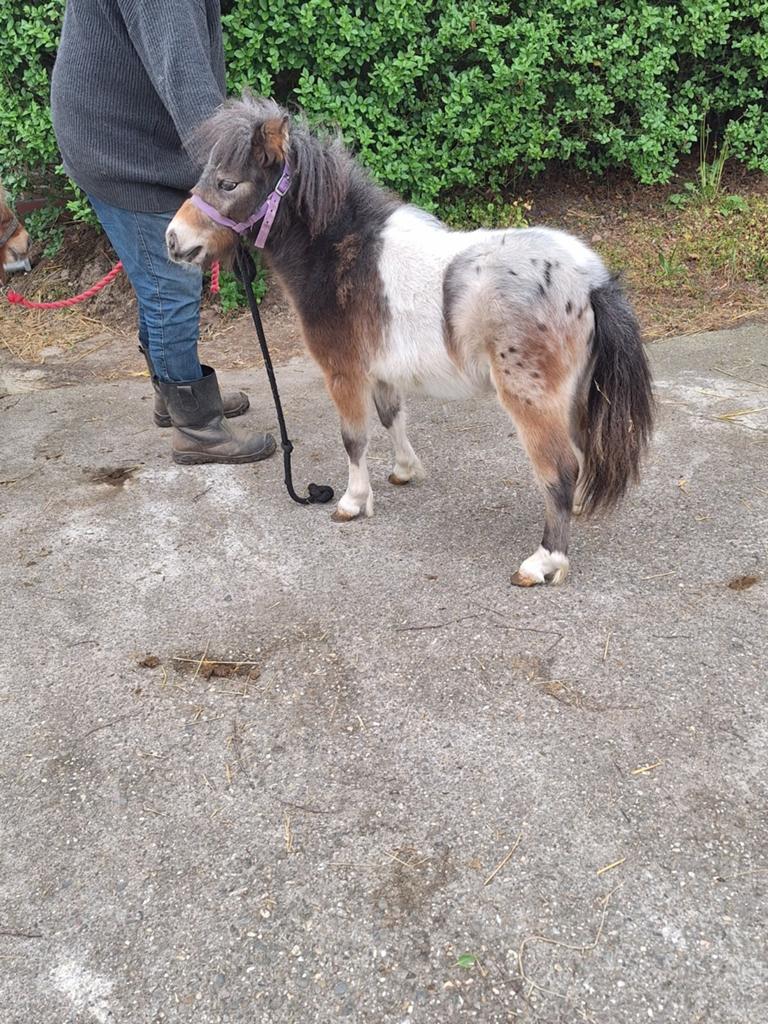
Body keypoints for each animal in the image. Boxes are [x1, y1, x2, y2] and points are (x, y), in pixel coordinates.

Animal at [166, 95, 654, 587]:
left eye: (228, 183)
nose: (174, 240)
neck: (343, 253)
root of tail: (591, 282)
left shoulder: (343, 373)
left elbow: (353, 438)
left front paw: (351, 502)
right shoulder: (381, 371)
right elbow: (391, 418)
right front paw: (403, 471)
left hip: (531, 399)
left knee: (560, 469)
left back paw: (544, 561)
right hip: (573, 396)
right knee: (579, 454)